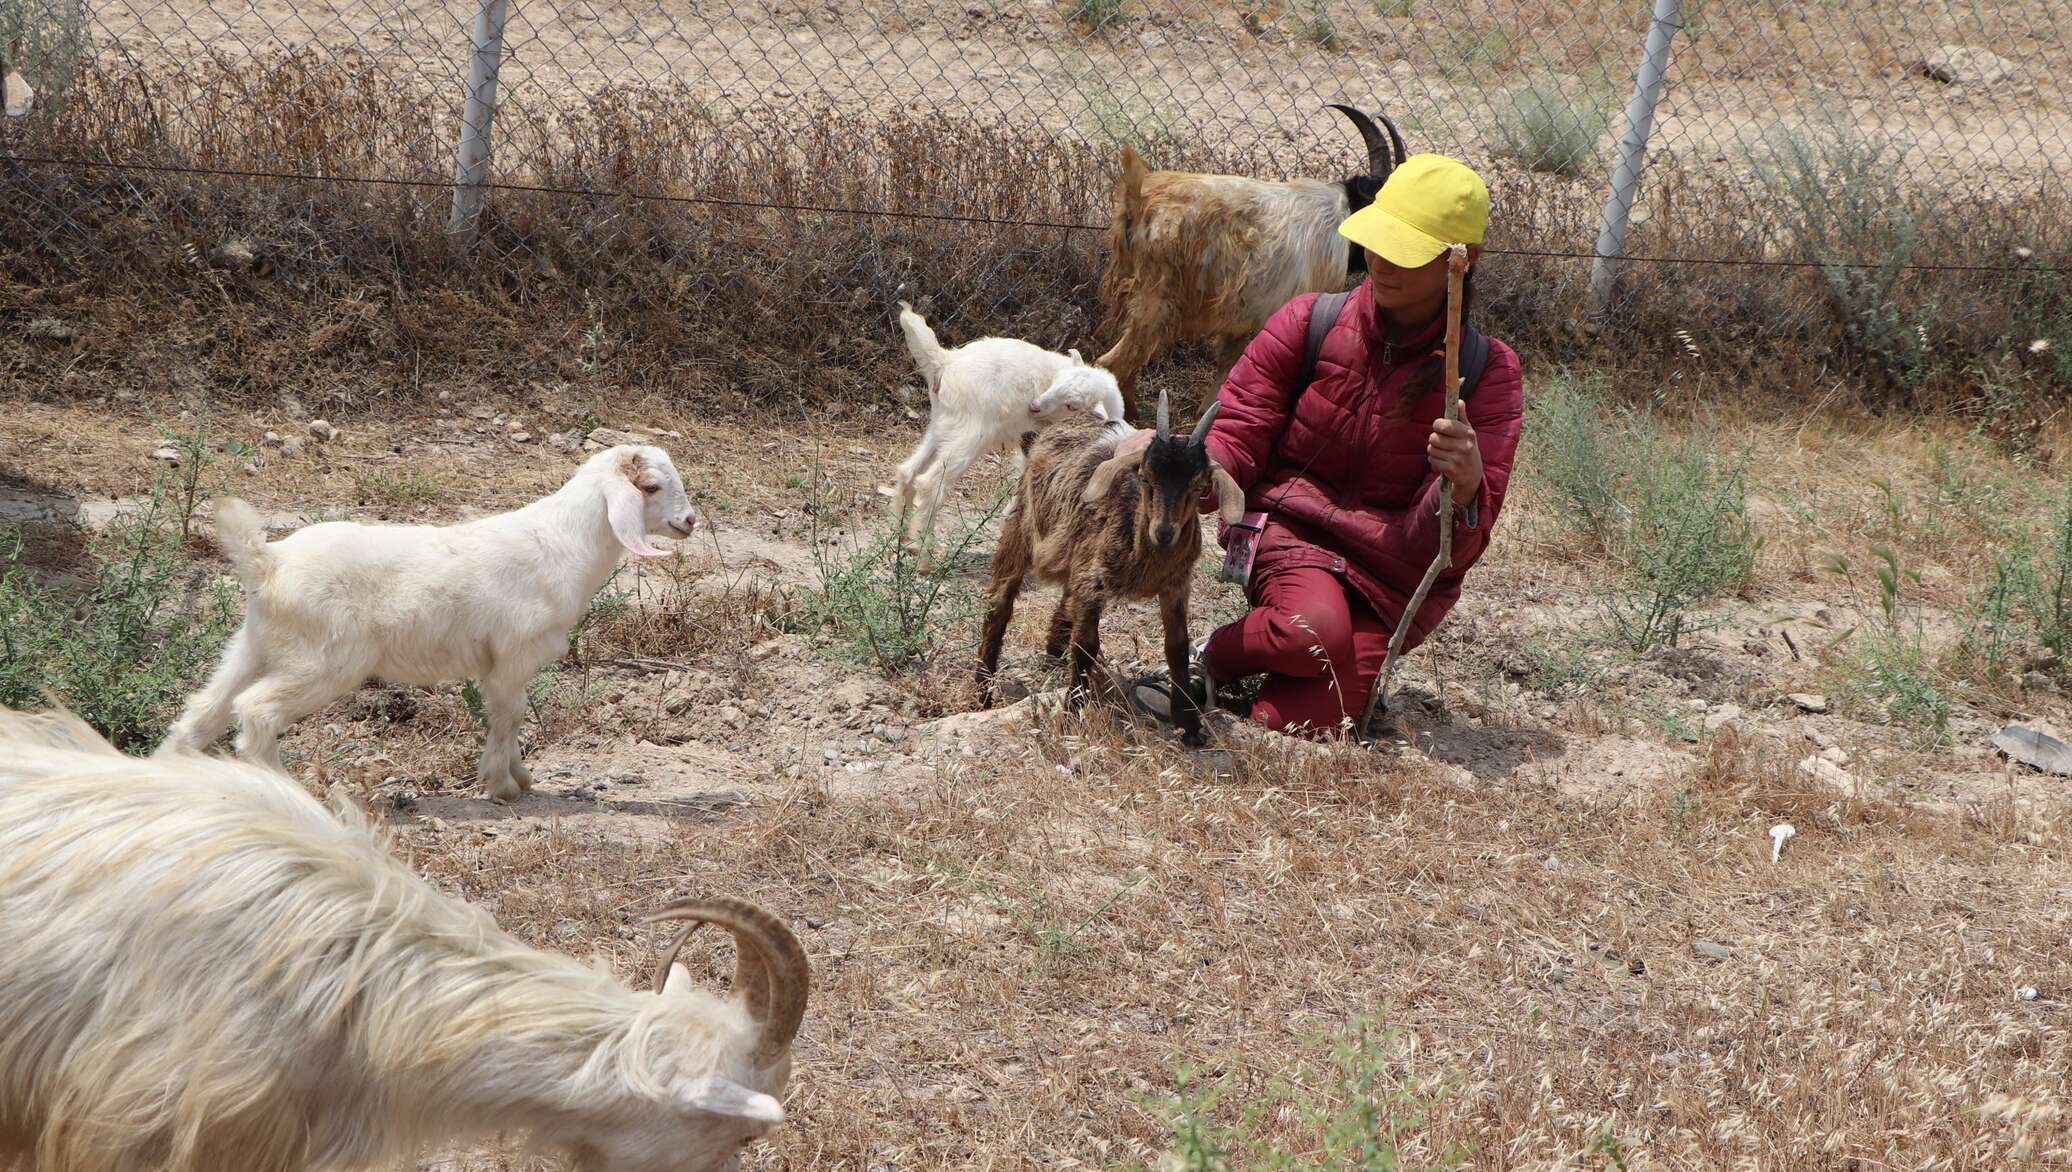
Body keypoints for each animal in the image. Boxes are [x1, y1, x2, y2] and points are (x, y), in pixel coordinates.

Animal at [161, 445, 696, 803]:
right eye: (651, 487)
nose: (689, 521)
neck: (563, 542)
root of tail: (267, 562)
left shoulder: (506, 665)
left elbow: (510, 715)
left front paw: (519, 777)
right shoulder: (513, 656)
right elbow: (509, 716)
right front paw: (503, 785)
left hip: (255, 644)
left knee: (205, 709)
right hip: (325, 659)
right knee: (256, 712)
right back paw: (292, 791)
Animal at [886, 300, 1118, 563]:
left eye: (1072, 405)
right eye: (1055, 382)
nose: (1033, 407)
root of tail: (945, 362)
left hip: (942, 424)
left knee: (909, 470)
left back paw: (900, 539)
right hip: (970, 433)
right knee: (930, 482)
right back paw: (923, 554)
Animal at [973, 393, 1234, 745]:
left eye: (1198, 486)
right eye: (1145, 476)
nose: (1164, 533)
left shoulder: (1176, 585)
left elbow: (1177, 647)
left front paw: (1190, 726)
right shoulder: (1092, 582)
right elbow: (1086, 646)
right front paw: (1071, 718)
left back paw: (1053, 651)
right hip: (1022, 526)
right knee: (1000, 604)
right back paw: (982, 691)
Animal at [1085, 103, 1408, 420]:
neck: (1338, 217)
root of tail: (1139, 199)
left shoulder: (1241, 319)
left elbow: (1227, 365)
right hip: (1156, 303)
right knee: (1114, 362)